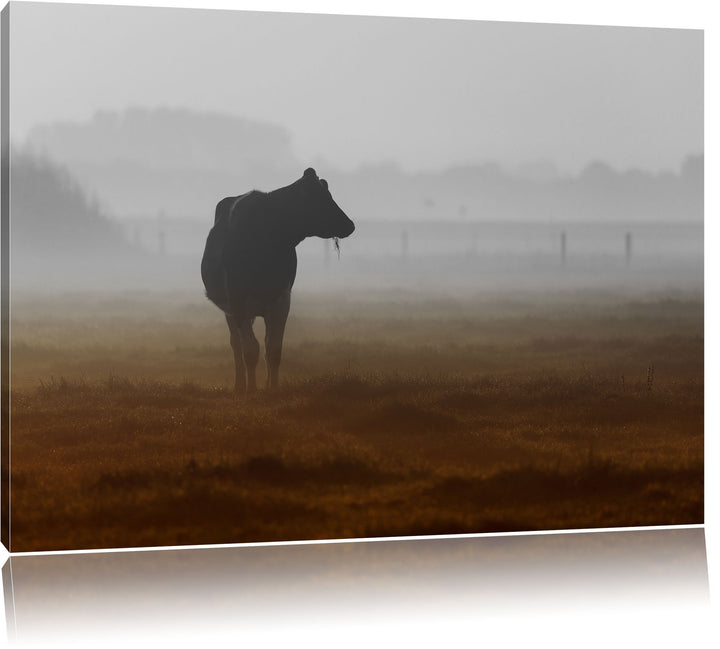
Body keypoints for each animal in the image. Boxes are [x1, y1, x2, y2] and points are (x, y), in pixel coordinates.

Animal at [201, 168, 355, 394]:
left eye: (329, 195)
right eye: (321, 199)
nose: (350, 225)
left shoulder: (282, 299)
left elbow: (273, 350)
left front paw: (272, 389)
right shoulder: (238, 301)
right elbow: (250, 350)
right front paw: (252, 390)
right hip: (231, 310)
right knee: (236, 345)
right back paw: (240, 385)